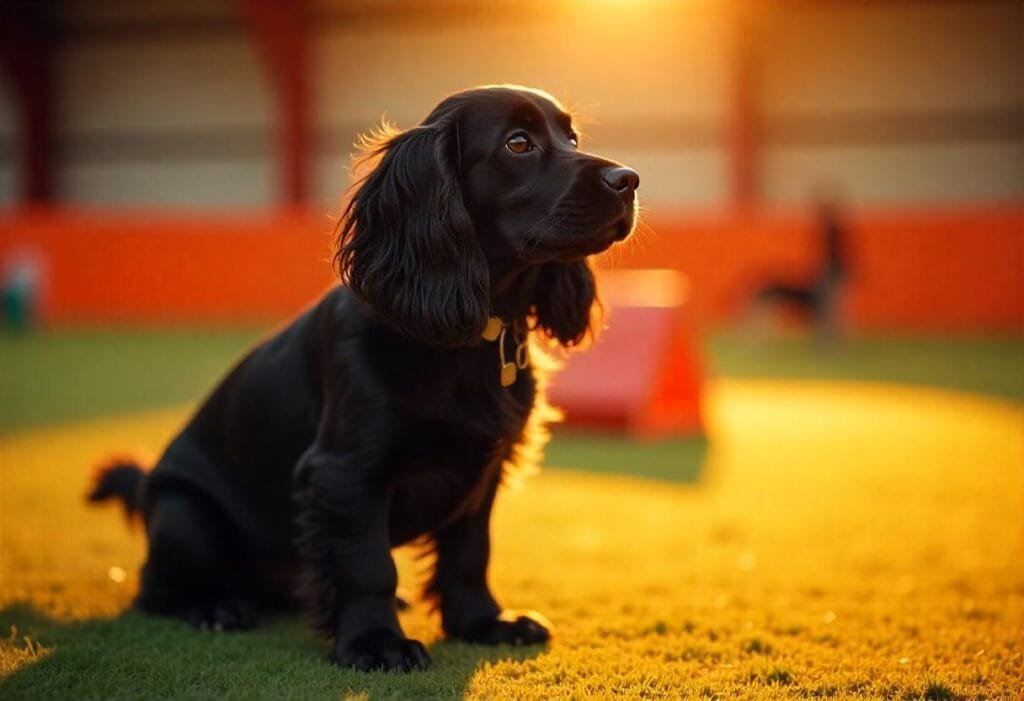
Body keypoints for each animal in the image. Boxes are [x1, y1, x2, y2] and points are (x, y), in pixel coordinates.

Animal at [94, 84, 638, 671]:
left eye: (572, 138)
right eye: (518, 143)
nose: (629, 180)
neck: (470, 335)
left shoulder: (483, 471)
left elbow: (469, 554)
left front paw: (485, 623)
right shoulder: (345, 472)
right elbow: (367, 564)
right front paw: (377, 642)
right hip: (184, 515)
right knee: (155, 588)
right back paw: (215, 607)